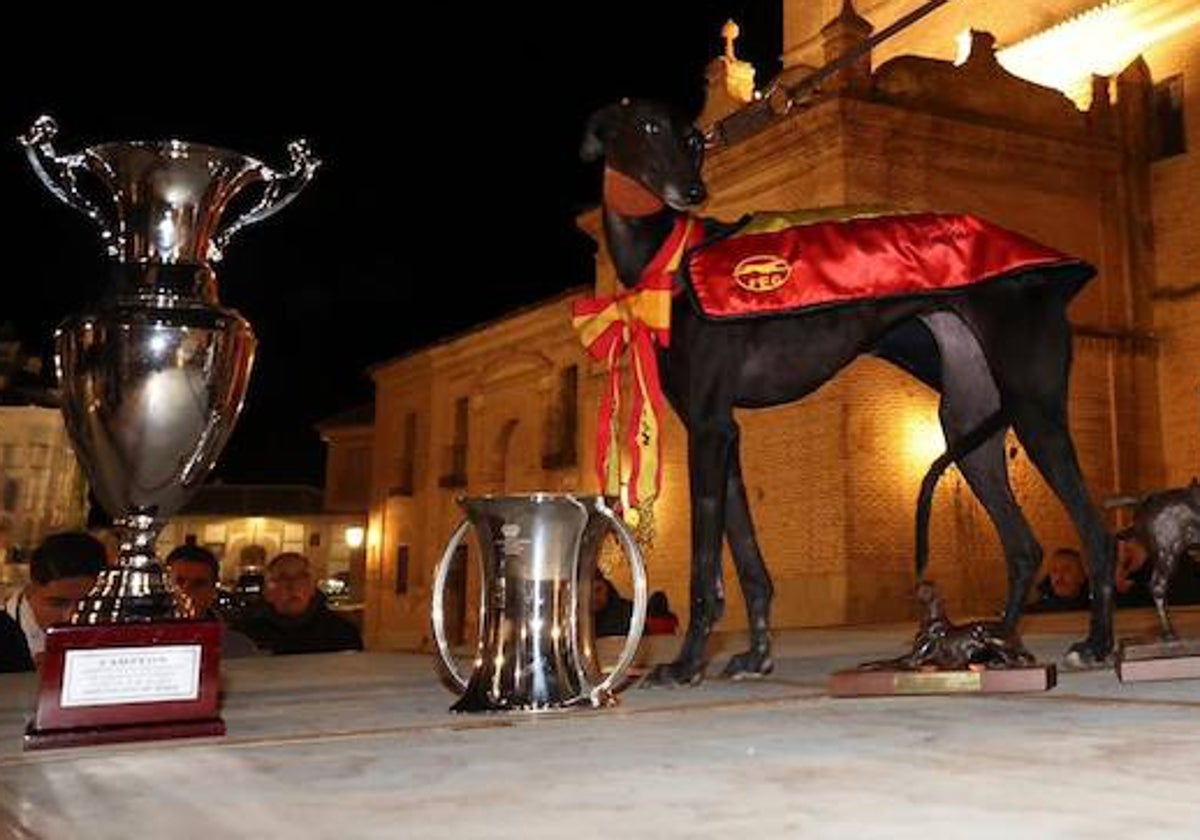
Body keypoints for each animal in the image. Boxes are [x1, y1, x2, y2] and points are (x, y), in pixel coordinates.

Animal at [580, 100, 1113, 691]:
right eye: (649, 128)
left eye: (693, 140)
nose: (693, 191)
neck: (672, 260)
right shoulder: (722, 430)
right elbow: (748, 562)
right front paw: (755, 656)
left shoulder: (708, 428)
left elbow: (705, 570)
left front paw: (686, 663)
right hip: (969, 423)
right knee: (1023, 547)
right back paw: (996, 645)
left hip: (1035, 410)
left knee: (1096, 535)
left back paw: (1094, 645)